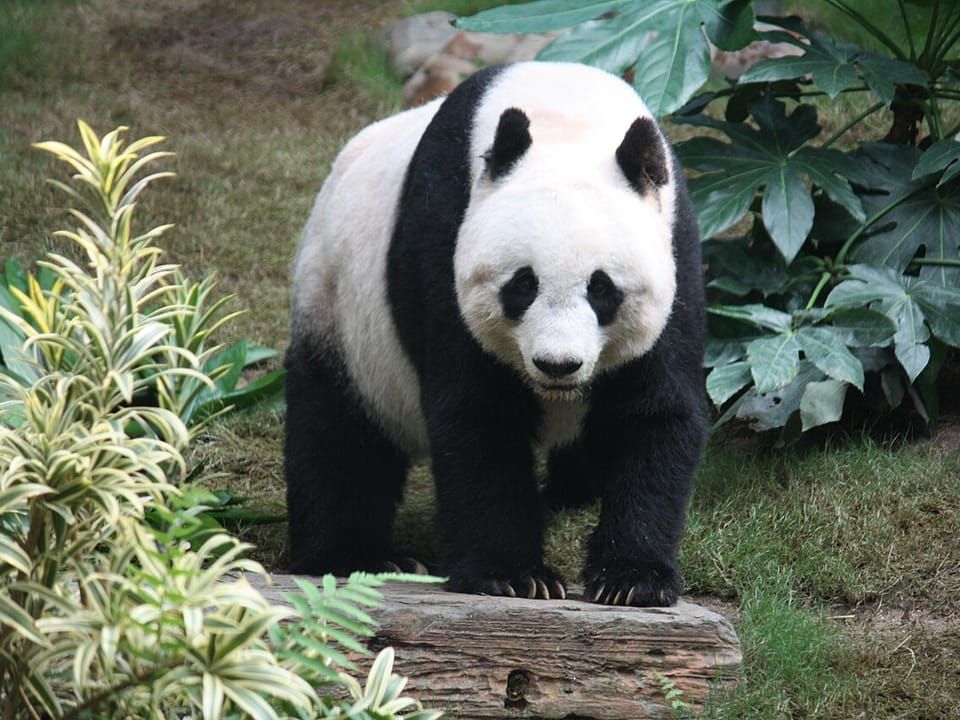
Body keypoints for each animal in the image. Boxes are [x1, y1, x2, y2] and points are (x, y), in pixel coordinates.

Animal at [285, 62, 706, 607]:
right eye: (523, 285)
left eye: (602, 289)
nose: (557, 364)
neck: (566, 116)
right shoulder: (444, 234)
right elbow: (479, 414)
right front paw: (513, 575)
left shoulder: (676, 249)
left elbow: (653, 411)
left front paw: (631, 579)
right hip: (339, 309)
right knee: (338, 434)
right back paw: (354, 556)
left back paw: (572, 493)